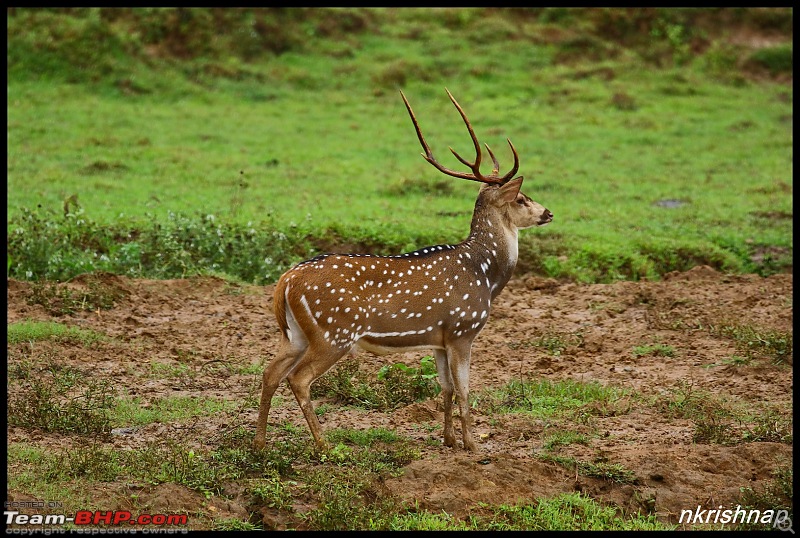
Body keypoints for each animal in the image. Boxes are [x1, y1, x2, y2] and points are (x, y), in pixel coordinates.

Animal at [255, 88, 552, 448]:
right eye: (521, 198)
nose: (548, 213)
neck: (485, 275)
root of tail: (286, 281)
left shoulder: (438, 338)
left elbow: (445, 388)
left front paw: (449, 440)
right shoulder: (462, 330)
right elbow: (465, 390)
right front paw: (472, 445)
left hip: (294, 334)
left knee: (270, 372)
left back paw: (258, 445)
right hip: (334, 332)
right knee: (298, 378)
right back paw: (324, 446)